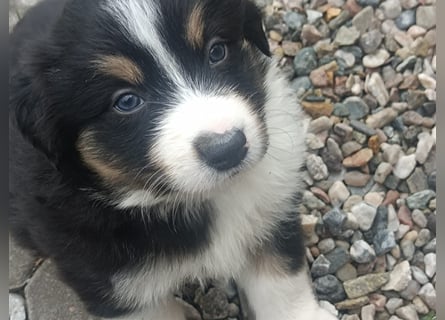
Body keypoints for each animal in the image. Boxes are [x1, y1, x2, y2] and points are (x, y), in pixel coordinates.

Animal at [9, 0, 336, 320]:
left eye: (217, 51)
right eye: (126, 101)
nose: (227, 148)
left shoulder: (272, 212)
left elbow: (282, 282)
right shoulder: (114, 283)